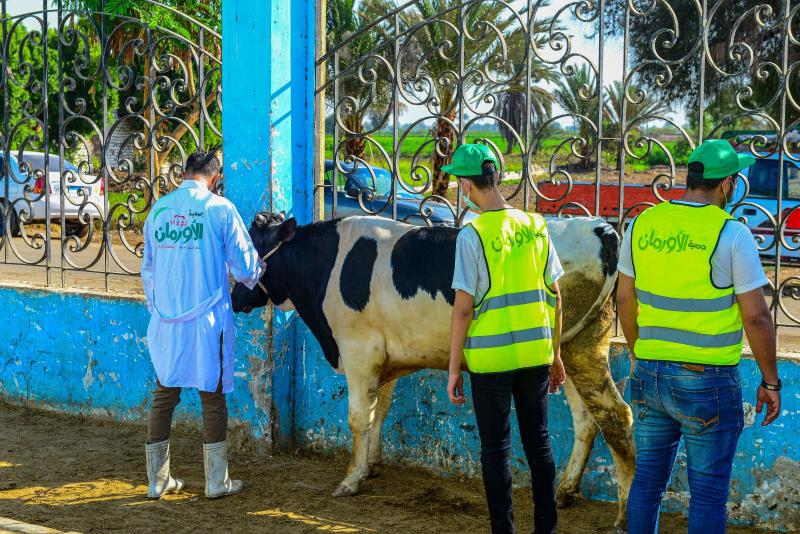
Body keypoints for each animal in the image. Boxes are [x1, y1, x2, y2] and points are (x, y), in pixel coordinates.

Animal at [231, 215, 636, 532]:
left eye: (249, 246)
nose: (234, 299)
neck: (327, 264)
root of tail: (599, 227)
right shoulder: (386, 355)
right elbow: (380, 411)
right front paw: (371, 465)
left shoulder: (359, 350)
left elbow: (359, 417)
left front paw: (351, 479)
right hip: (572, 348)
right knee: (587, 419)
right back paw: (566, 491)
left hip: (579, 349)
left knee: (616, 416)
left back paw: (624, 514)